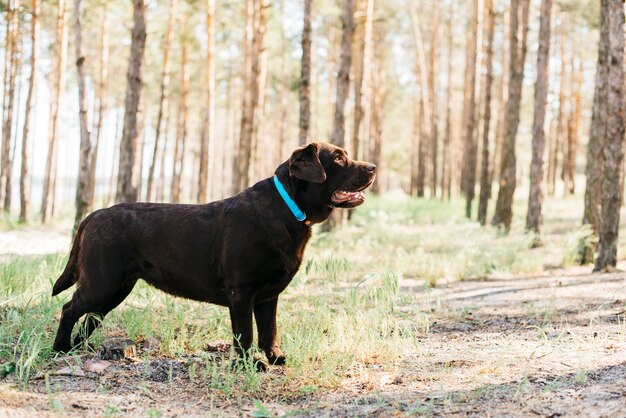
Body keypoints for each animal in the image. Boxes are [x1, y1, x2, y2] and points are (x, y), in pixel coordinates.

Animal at [51, 142, 372, 368]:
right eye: (338, 158)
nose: (372, 167)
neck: (288, 209)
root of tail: (93, 215)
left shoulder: (268, 296)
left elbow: (269, 329)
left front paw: (274, 357)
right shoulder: (241, 291)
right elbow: (246, 333)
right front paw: (250, 365)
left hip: (117, 287)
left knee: (91, 317)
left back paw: (80, 348)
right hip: (102, 281)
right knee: (69, 309)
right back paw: (61, 349)